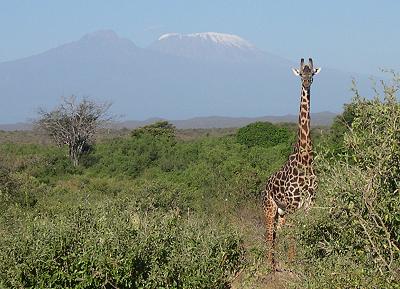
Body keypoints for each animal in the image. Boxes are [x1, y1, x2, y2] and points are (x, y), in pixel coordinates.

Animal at [262, 57, 322, 268]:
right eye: (301, 74)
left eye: (312, 74)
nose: (306, 83)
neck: (305, 159)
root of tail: (265, 185)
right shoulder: (293, 204)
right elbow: (293, 233)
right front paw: (293, 263)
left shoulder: (309, 203)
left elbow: (301, 231)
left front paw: (300, 263)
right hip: (269, 207)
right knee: (269, 234)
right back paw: (269, 265)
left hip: (281, 211)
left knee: (277, 232)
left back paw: (276, 262)